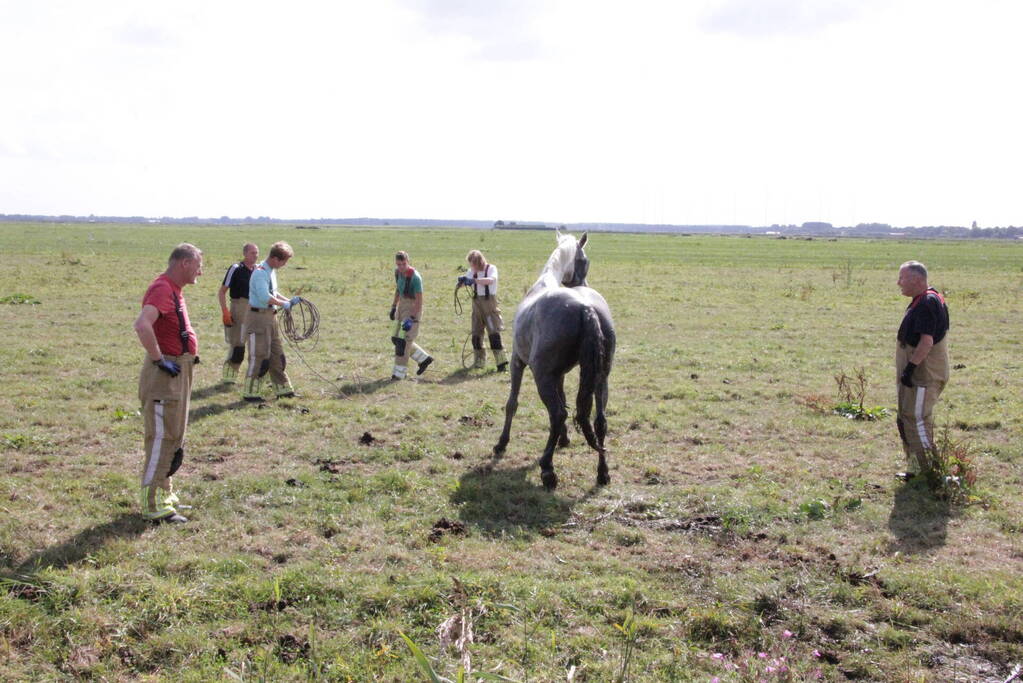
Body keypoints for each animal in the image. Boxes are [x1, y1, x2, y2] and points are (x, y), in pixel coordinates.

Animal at [493, 230, 616, 491]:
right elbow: (566, 401)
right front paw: (565, 439)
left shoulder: (518, 362)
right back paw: (602, 472)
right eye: (584, 261)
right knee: (599, 421)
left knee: (556, 414)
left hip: (542, 377)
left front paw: (501, 443)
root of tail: (586, 307)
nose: (583, 284)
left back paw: (547, 469)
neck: (544, 282)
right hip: (601, 378)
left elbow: (512, 404)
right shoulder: (560, 374)